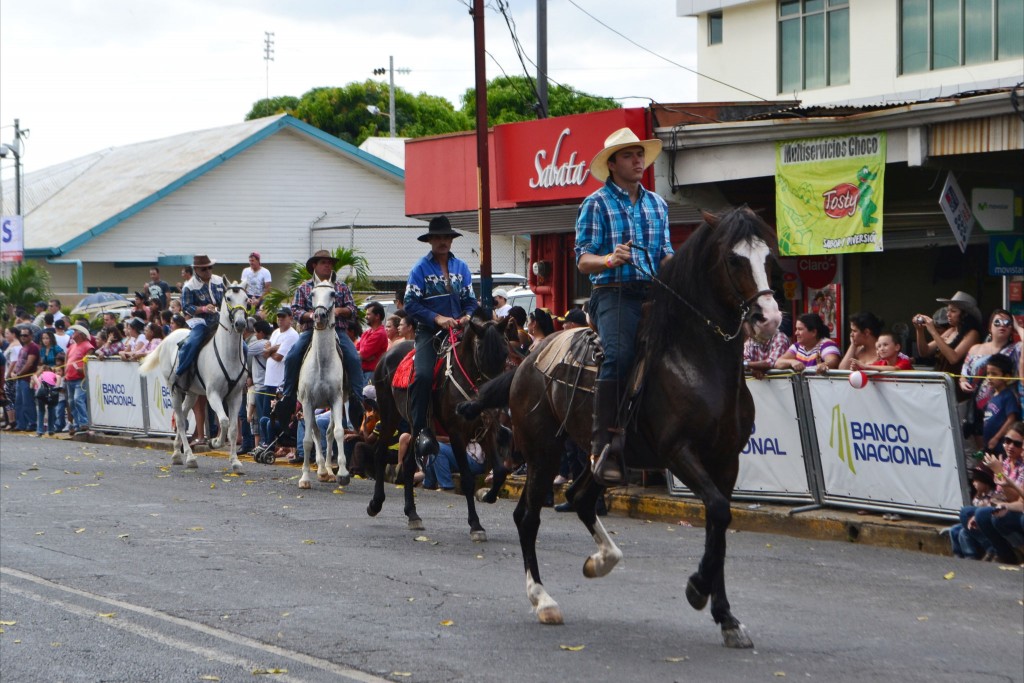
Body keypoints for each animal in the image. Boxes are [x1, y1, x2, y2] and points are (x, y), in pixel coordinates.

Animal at [139, 280, 248, 473]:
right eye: (228, 298)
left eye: (247, 299)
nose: (241, 323)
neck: (228, 355)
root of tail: (168, 337)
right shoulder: (213, 395)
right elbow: (224, 421)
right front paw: (215, 442)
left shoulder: (235, 396)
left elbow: (234, 428)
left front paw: (235, 462)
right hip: (175, 391)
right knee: (181, 421)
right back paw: (189, 458)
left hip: (192, 393)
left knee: (181, 416)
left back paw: (176, 453)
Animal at [299, 280, 354, 489]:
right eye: (312, 294)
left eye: (333, 294)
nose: (320, 316)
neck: (321, 364)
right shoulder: (307, 402)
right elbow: (307, 439)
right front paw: (305, 478)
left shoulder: (336, 400)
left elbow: (338, 432)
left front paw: (343, 473)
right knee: (315, 432)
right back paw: (321, 469)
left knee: (328, 433)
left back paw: (328, 471)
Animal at [366, 317, 512, 540]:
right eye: (480, 352)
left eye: (505, 352)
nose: (495, 404)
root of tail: (386, 355)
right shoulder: (457, 434)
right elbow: (468, 479)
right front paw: (476, 525)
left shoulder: (487, 431)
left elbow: (501, 470)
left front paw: (488, 496)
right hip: (389, 415)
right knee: (380, 454)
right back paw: (375, 503)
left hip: (415, 426)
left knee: (408, 464)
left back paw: (413, 514)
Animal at [460, 205, 778, 651]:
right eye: (734, 259)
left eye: (768, 257)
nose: (769, 319)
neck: (697, 361)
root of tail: (527, 360)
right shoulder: (678, 453)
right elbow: (717, 511)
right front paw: (697, 589)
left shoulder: (726, 460)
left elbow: (720, 522)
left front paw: (726, 617)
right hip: (543, 453)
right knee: (528, 517)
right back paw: (543, 599)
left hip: (600, 458)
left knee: (579, 499)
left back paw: (602, 560)